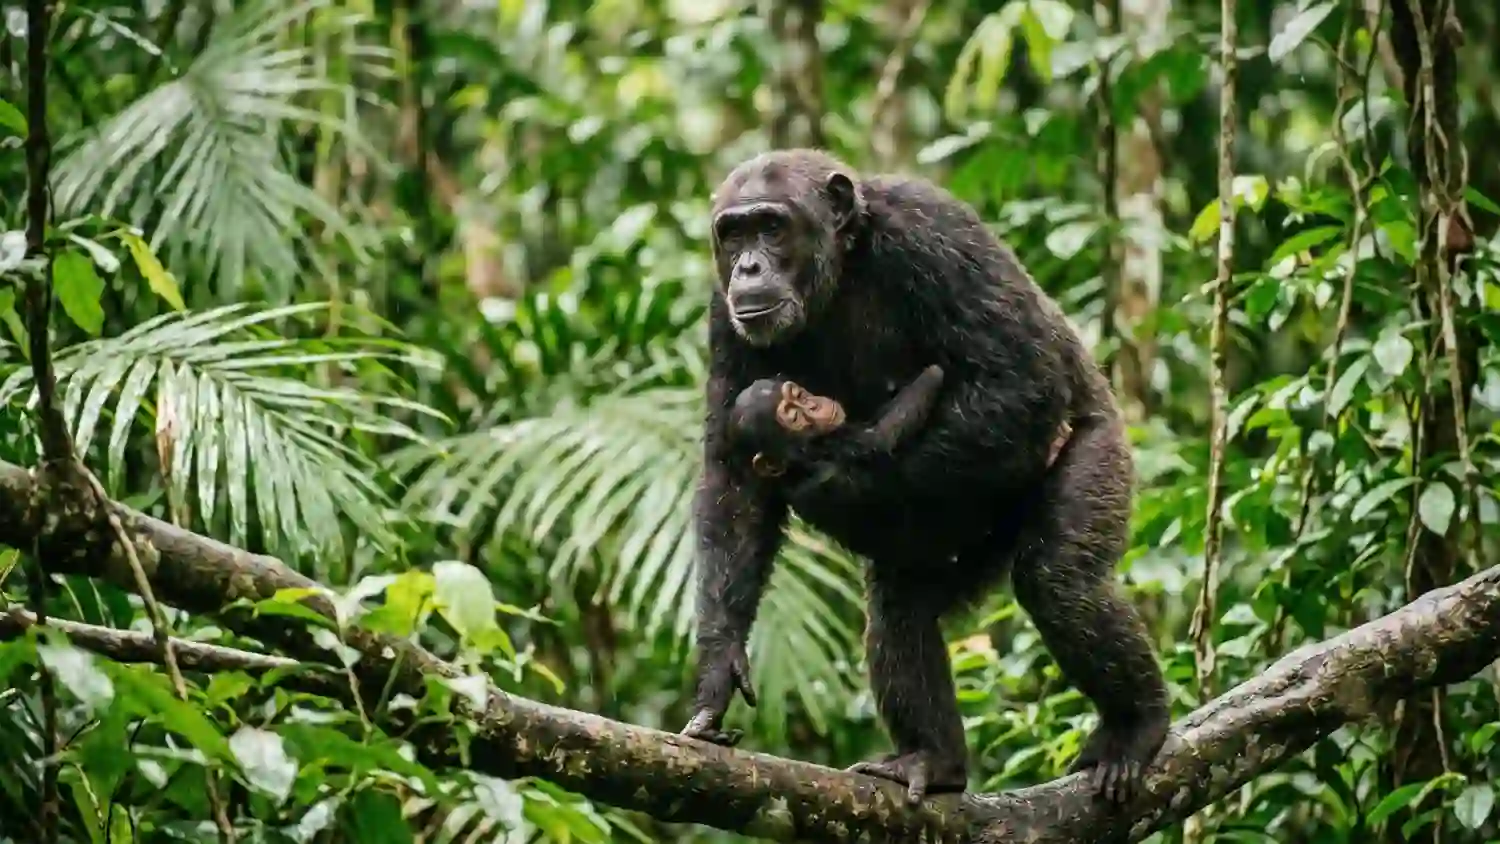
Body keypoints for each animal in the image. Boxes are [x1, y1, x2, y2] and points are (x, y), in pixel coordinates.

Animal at [681, 148, 1168, 806]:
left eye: (772, 227)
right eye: (733, 234)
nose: (749, 265)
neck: (841, 270)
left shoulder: (936, 231)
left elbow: (1019, 378)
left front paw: (836, 473)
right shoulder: (722, 312)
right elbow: (734, 479)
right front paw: (719, 665)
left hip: (1101, 456)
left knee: (1061, 582)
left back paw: (1136, 723)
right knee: (904, 609)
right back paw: (936, 761)